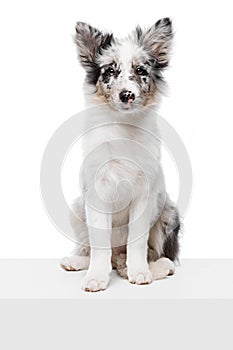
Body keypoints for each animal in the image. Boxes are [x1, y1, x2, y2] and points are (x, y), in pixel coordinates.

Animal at [60, 17, 180, 292]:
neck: (124, 127)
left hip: (168, 212)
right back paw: (78, 261)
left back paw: (154, 267)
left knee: (155, 254)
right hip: (77, 208)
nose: (127, 95)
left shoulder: (144, 195)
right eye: (110, 71)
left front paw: (139, 272)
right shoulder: (96, 194)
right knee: (97, 250)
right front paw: (95, 277)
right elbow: (99, 245)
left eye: (141, 71)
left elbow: (137, 242)